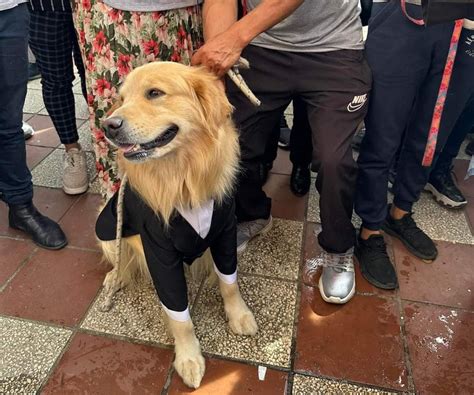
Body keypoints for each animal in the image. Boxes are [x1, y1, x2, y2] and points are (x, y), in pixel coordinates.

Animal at [95, 62, 258, 390]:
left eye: (155, 93)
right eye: (121, 99)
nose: (108, 126)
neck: (182, 174)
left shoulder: (225, 233)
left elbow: (230, 282)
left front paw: (238, 314)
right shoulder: (159, 252)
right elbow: (180, 317)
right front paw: (188, 357)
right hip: (105, 227)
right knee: (121, 261)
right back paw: (115, 277)